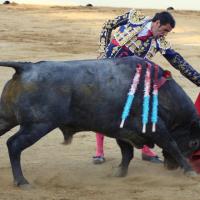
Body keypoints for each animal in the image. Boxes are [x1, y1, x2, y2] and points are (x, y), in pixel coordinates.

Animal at [0, 55, 198, 187]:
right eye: (194, 143)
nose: (171, 168)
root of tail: (26, 68)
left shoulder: (123, 130)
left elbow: (127, 152)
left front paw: (119, 172)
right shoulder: (155, 128)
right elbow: (172, 145)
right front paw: (190, 171)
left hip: (7, 118)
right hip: (38, 125)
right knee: (14, 144)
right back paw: (21, 181)